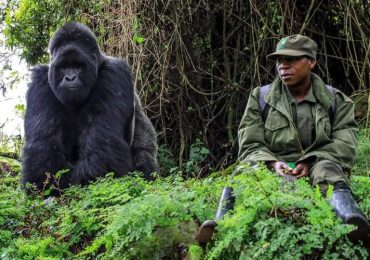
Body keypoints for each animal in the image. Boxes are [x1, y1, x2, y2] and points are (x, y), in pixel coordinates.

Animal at [21, 22, 158, 193]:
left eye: (79, 66)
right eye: (64, 67)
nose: (70, 78)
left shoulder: (114, 72)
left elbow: (102, 142)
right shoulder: (40, 80)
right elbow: (44, 144)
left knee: (144, 155)